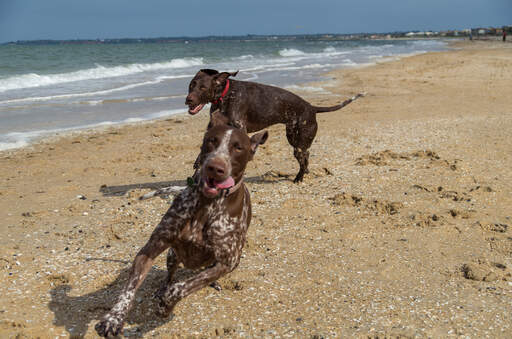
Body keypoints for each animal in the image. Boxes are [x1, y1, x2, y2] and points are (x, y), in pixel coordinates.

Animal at [186, 68, 362, 183]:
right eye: (191, 85)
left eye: (203, 87)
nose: (188, 100)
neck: (225, 95)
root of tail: (312, 108)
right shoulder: (213, 129)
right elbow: (203, 153)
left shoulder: (239, 128)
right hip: (295, 139)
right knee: (307, 156)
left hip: (298, 144)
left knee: (303, 159)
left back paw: (299, 178)